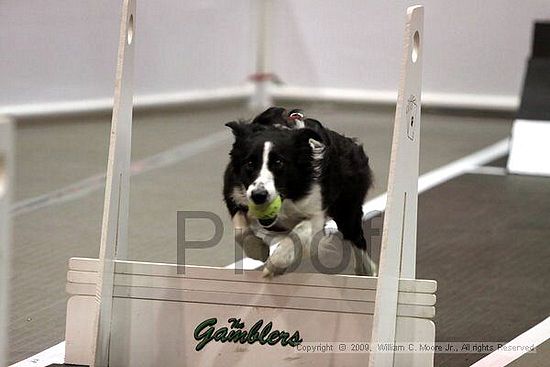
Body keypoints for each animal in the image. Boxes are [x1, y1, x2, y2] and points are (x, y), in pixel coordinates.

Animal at [223, 108, 376, 278]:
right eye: (249, 163)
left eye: (279, 163)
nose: (259, 195)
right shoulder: (233, 192)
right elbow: (240, 230)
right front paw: (259, 250)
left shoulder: (316, 210)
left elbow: (299, 232)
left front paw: (275, 264)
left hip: (347, 209)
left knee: (357, 238)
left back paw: (366, 271)